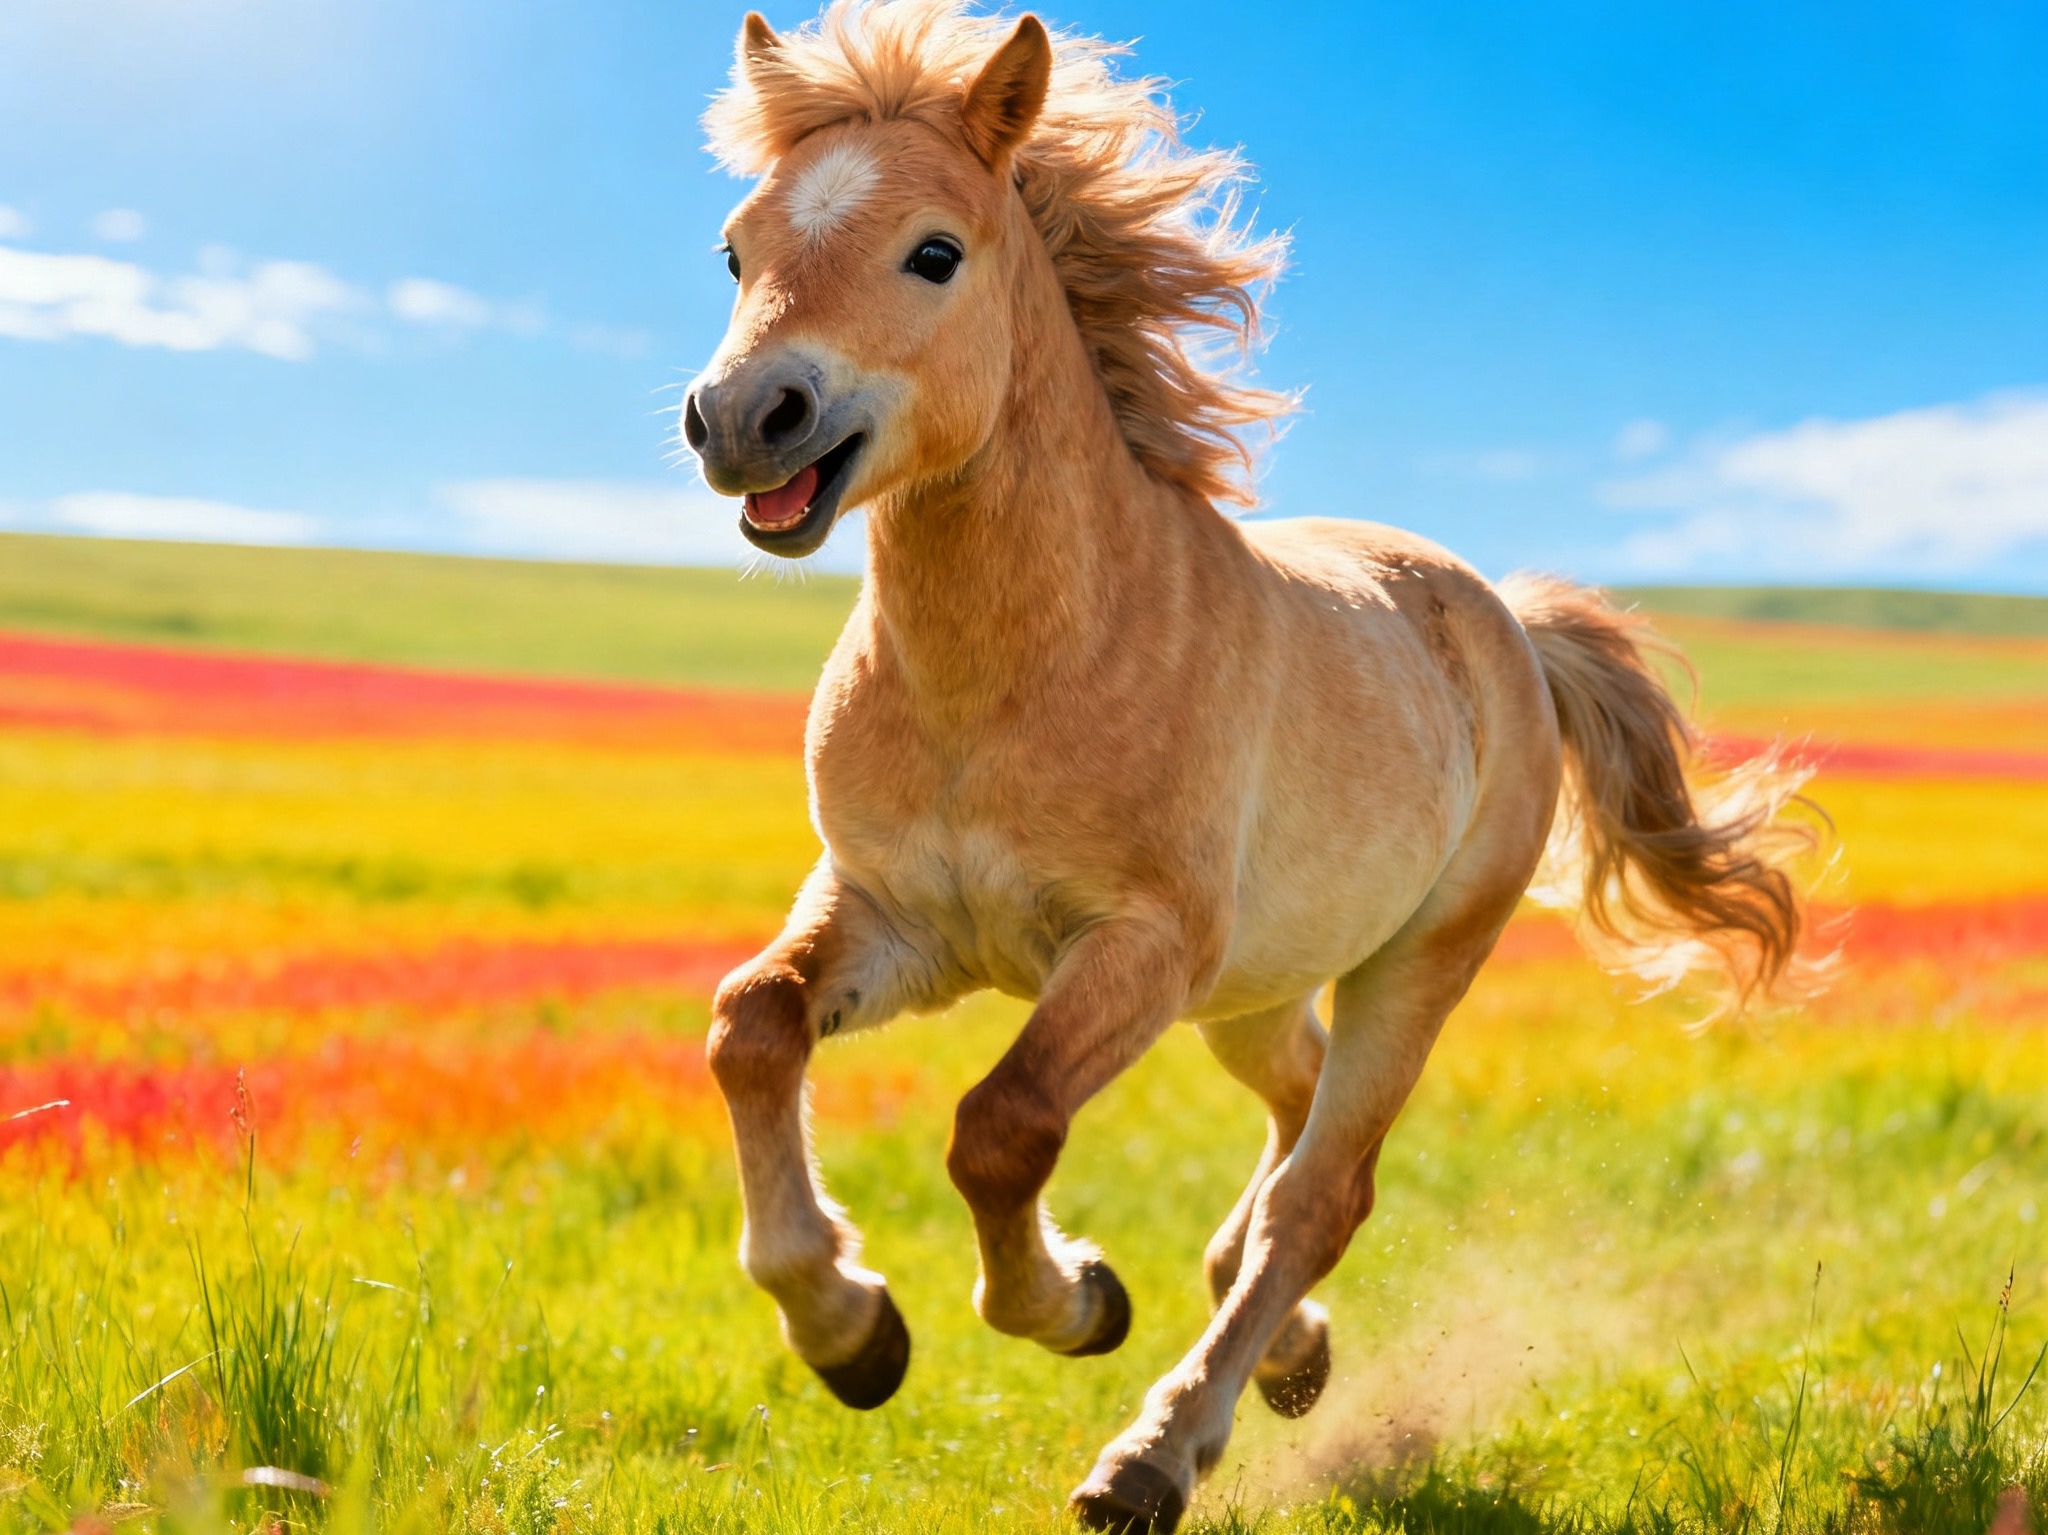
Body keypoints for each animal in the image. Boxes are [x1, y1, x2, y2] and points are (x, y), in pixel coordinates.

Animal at [680, 4, 1813, 1528]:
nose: (749, 418)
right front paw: (851, 1330)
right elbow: (751, 1025)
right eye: (736, 248)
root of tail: (1509, 625)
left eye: (933, 252)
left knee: (1321, 1194)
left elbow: (1001, 1124)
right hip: (1256, 988)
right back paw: (1286, 1347)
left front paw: (1073, 1300)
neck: (1012, 670)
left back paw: (1154, 1452)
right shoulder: (897, 916)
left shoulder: (1134, 948)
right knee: (1298, 1122)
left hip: (1412, 962)